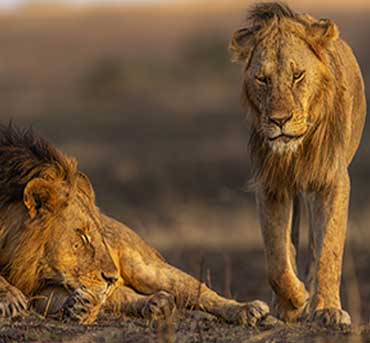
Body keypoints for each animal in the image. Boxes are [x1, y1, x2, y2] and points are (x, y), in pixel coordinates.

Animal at [0, 125, 268, 326]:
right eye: (82, 236)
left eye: (98, 236)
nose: (111, 277)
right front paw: (10, 298)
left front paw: (81, 307)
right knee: (123, 296)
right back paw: (156, 304)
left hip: (146, 267)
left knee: (200, 291)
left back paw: (248, 310)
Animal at [230, 1, 366, 326]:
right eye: (262, 79)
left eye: (297, 76)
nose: (279, 120)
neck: (296, 149)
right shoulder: (271, 186)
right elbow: (276, 258)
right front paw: (294, 301)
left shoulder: (331, 180)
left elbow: (329, 249)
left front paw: (327, 310)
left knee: (317, 245)